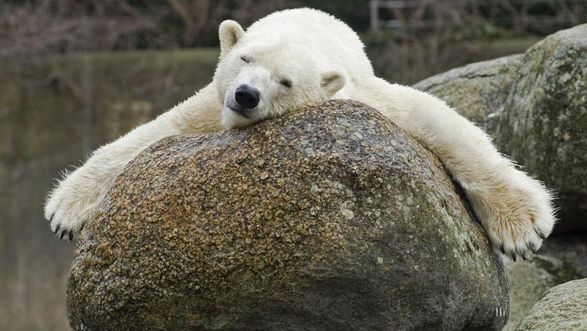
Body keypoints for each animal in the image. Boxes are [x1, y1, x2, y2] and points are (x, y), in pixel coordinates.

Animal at [44, 8, 556, 262]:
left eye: (285, 81)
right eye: (245, 59)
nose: (246, 95)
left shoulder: (357, 92)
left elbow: (436, 118)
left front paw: (523, 226)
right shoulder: (213, 100)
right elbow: (156, 131)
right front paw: (66, 208)